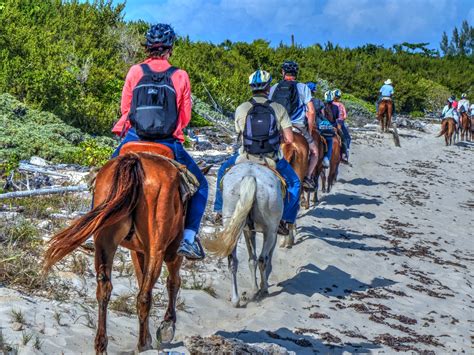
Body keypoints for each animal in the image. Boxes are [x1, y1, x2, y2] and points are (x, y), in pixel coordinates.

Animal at [43, 143, 187, 354]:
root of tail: (134, 160)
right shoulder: (171, 251)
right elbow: (173, 281)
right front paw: (167, 326)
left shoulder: (138, 251)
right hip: (157, 248)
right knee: (144, 296)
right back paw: (142, 344)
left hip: (105, 240)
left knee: (104, 288)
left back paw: (102, 344)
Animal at [205, 163, 284, 308]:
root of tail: (250, 176)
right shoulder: (273, 233)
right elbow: (265, 259)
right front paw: (260, 286)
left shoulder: (248, 230)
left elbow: (251, 259)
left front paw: (254, 287)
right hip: (270, 230)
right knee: (263, 259)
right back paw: (264, 290)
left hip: (232, 222)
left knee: (233, 261)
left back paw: (236, 299)